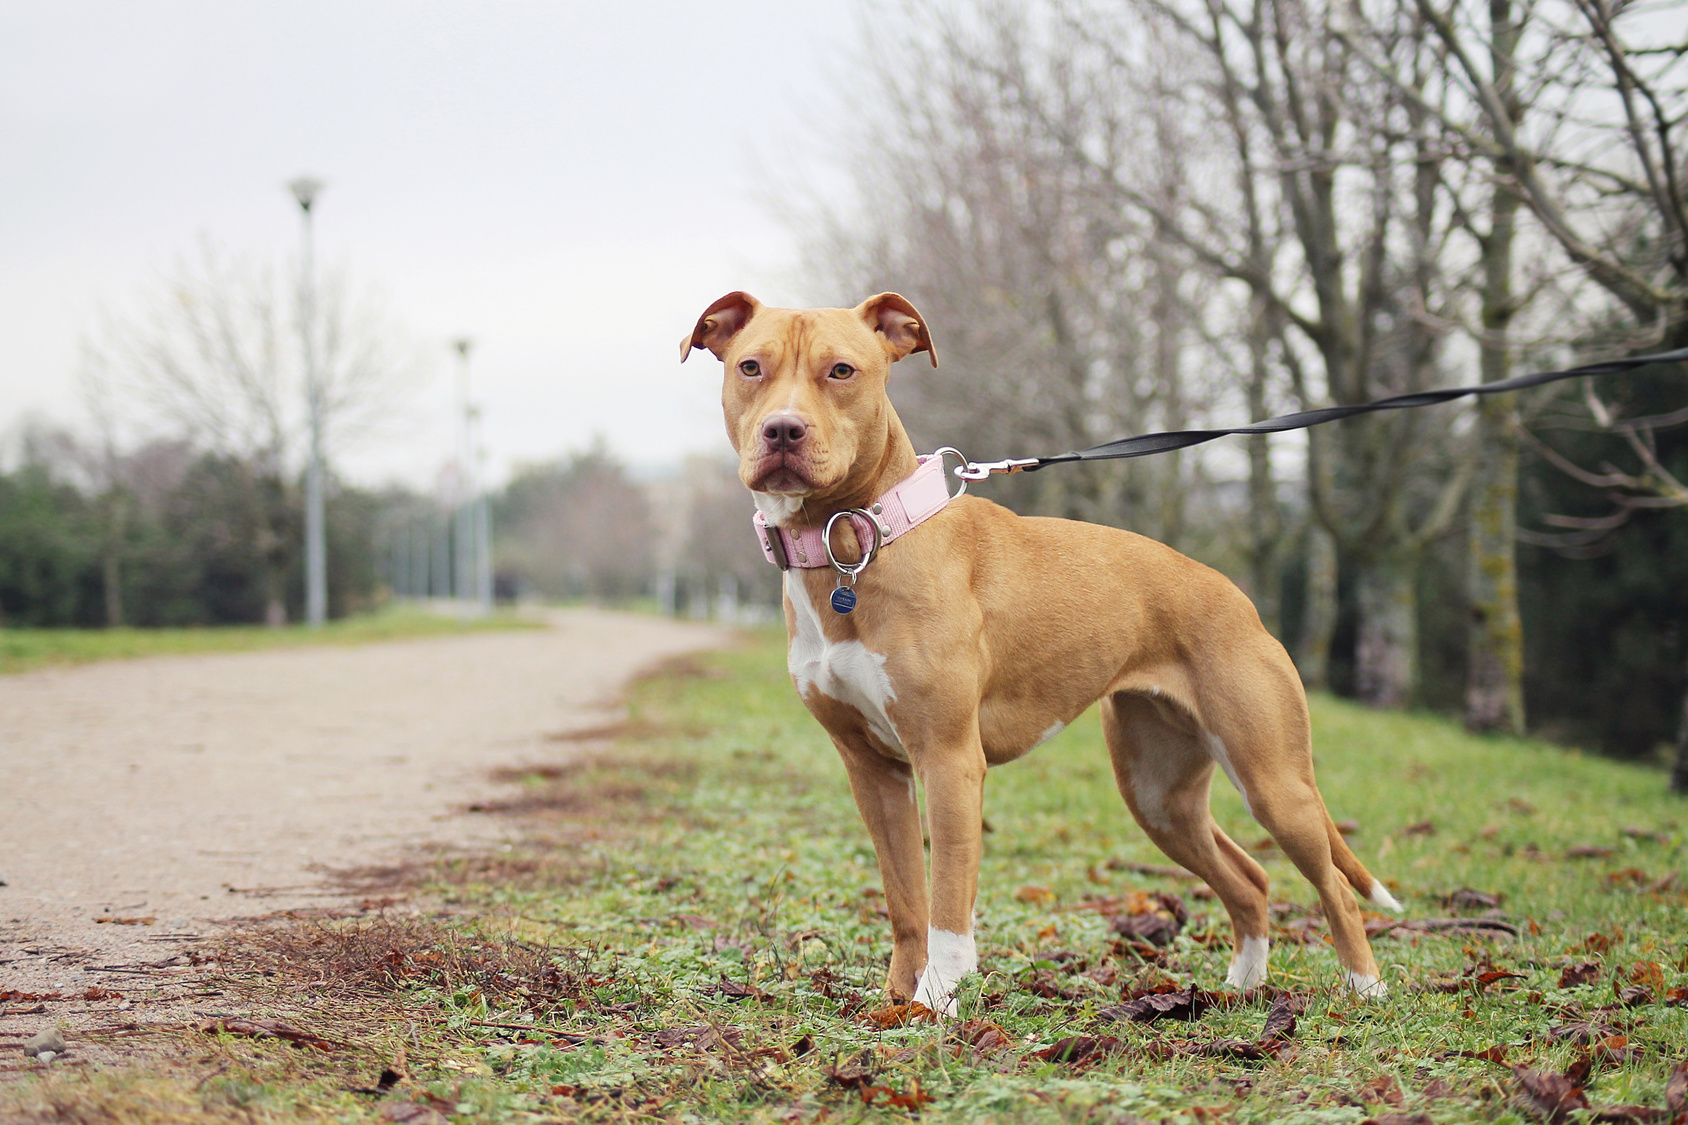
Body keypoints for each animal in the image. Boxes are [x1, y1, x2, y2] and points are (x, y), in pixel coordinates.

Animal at [681, 288, 1397, 1006]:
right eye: (750, 367)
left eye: (841, 371)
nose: (783, 430)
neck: (854, 535)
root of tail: (1238, 596)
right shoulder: (872, 769)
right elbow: (906, 899)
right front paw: (895, 1003)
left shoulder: (949, 759)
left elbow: (947, 902)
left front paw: (935, 1000)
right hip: (1159, 794)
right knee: (1249, 878)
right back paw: (1242, 987)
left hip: (1273, 781)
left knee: (1334, 884)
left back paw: (1364, 989)